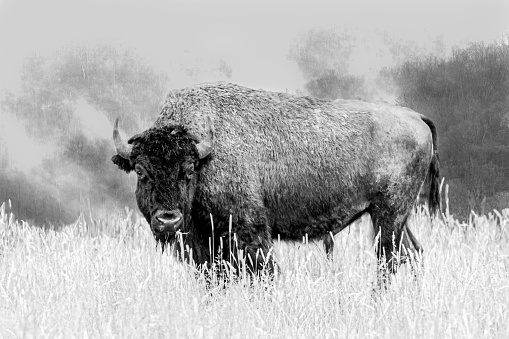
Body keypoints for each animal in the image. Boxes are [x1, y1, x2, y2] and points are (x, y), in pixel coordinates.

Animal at [113, 82, 438, 282]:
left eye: (189, 170)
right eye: (140, 171)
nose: (168, 219)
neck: (207, 152)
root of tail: (414, 116)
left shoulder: (250, 231)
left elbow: (263, 272)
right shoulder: (205, 243)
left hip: (389, 215)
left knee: (389, 261)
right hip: (392, 217)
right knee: (412, 254)